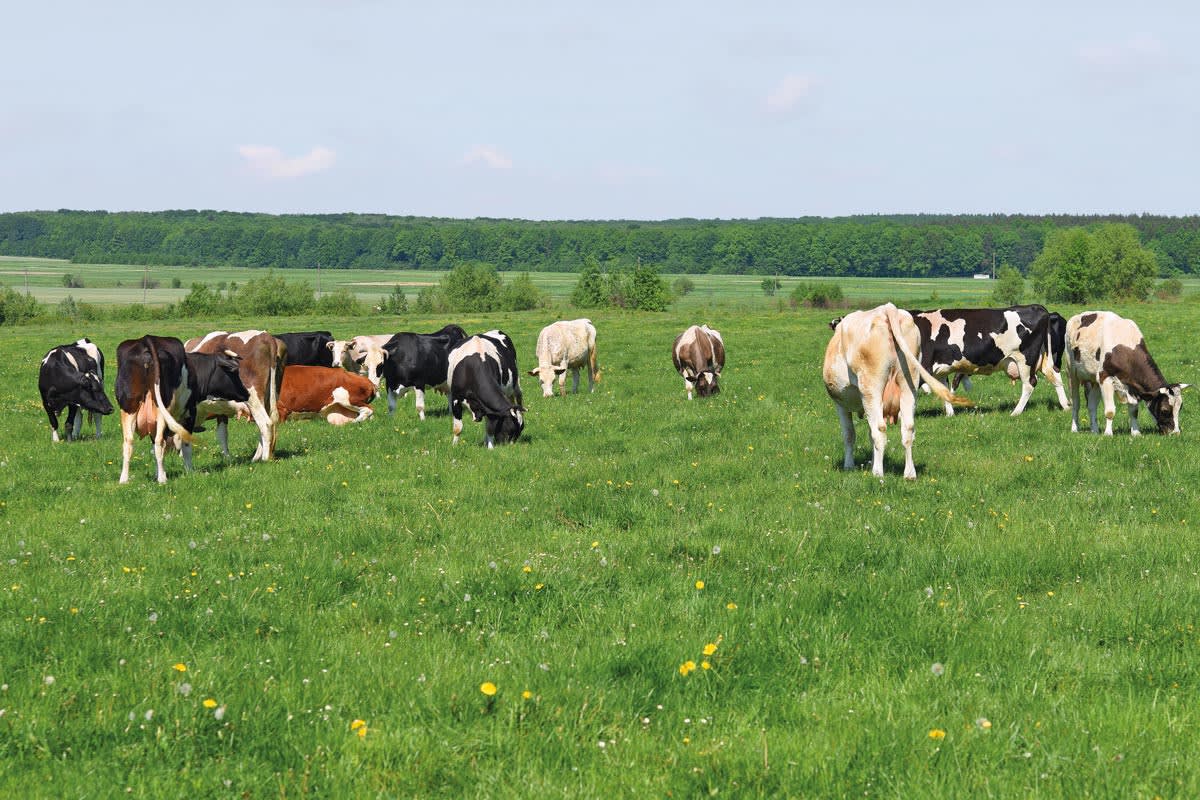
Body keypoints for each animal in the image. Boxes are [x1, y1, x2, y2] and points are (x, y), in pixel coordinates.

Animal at [117, 335, 248, 484]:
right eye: (234, 372)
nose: (246, 393)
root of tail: (146, 339)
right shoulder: (190, 413)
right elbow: (185, 443)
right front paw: (189, 471)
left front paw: (157, 473)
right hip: (162, 410)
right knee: (159, 442)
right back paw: (162, 479)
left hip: (129, 408)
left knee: (129, 442)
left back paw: (124, 479)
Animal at [184, 328, 288, 460]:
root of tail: (266, 336)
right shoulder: (221, 410)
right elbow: (222, 433)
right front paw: (228, 458)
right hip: (270, 396)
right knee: (269, 421)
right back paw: (257, 458)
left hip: (253, 396)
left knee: (266, 423)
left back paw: (264, 459)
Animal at [825, 304, 974, 482]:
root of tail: (886, 309)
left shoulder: (841, 404)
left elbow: (849, 435)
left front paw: (849, 466)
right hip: (908, 384)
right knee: (908, 428)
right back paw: (909, 474)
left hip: (871, 388)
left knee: (879, 431)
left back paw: (878, 473)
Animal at [907, 304, 1070, 419]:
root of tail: (1038, 307)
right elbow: (944, 389)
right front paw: (950, 414)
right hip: (1045, 358)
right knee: (1055, 376)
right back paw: (1066, 406)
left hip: (1025, 359)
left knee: (1030, 383)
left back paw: (1015, 412)